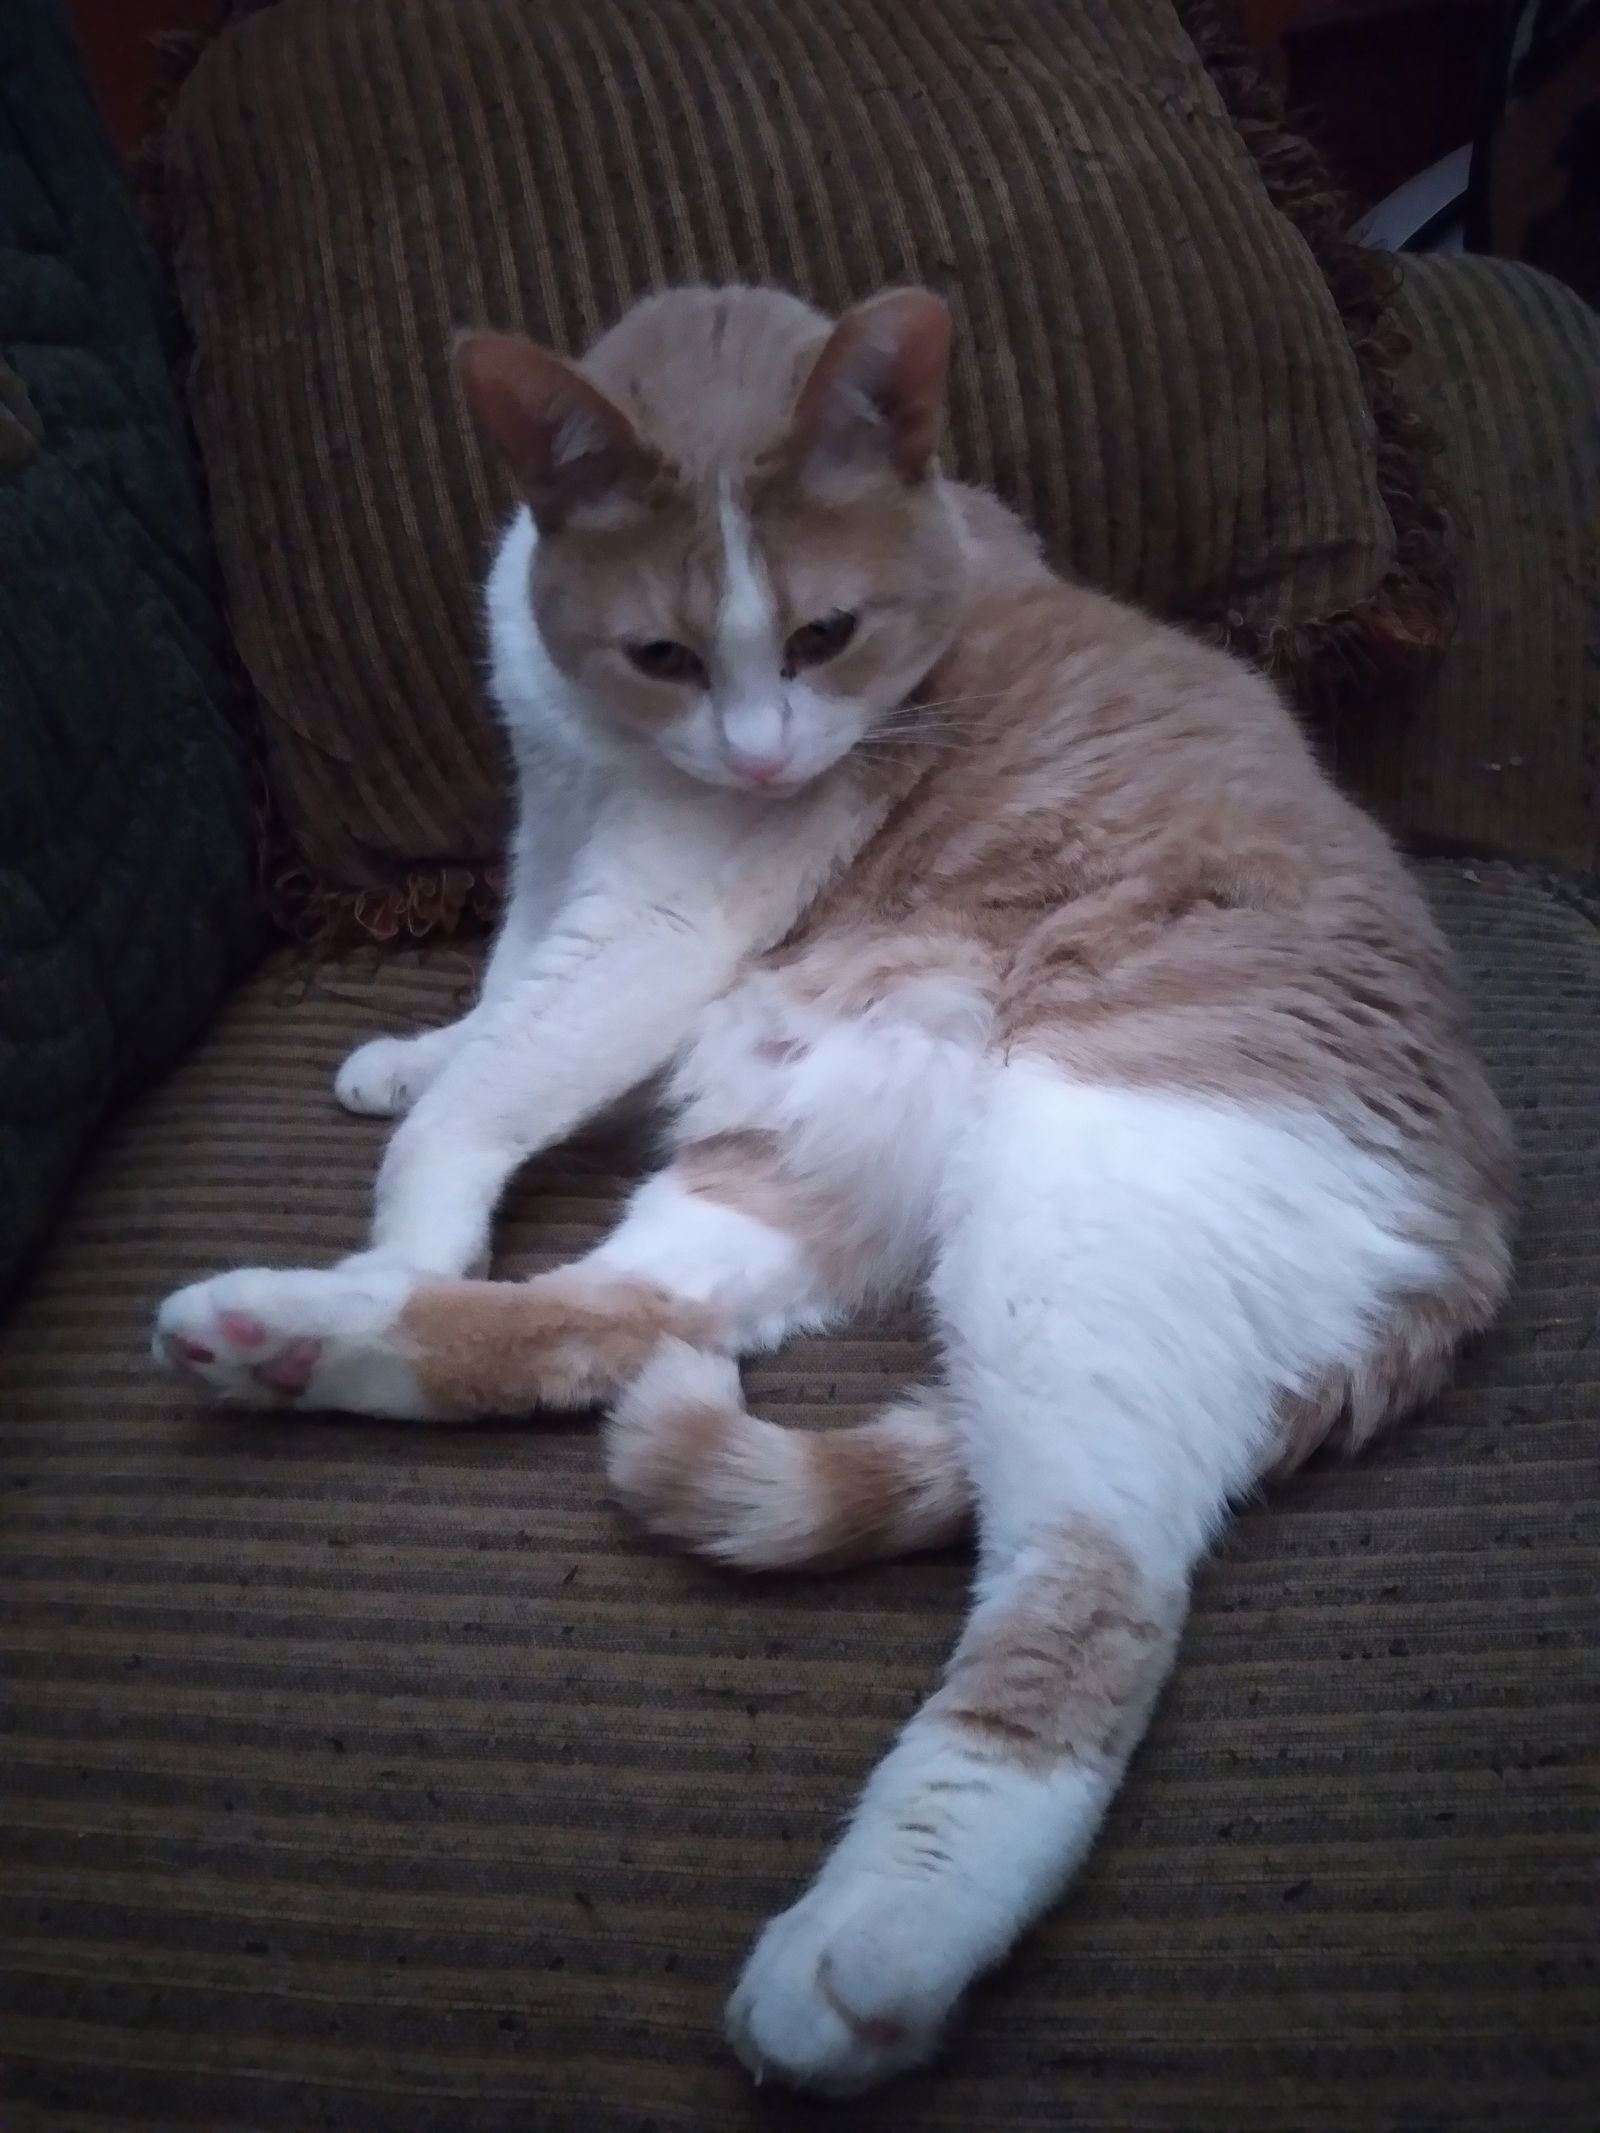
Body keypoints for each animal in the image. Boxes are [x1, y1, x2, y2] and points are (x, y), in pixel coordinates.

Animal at [153, 283, 1518, 2098]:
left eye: (826, 638)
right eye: (665, 654)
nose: (758, 761)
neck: (621, 752)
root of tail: (1481, 1210)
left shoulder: (659, 918)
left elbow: (486, 1093)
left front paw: (419, 1176)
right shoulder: (551, 825)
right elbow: (498, 996)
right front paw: (418, 1055)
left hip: (1078, 1216)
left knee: (1091, 1593)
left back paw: (876, 1944)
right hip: (797, 1168)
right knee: (611, 1321)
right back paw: (291, 1334)